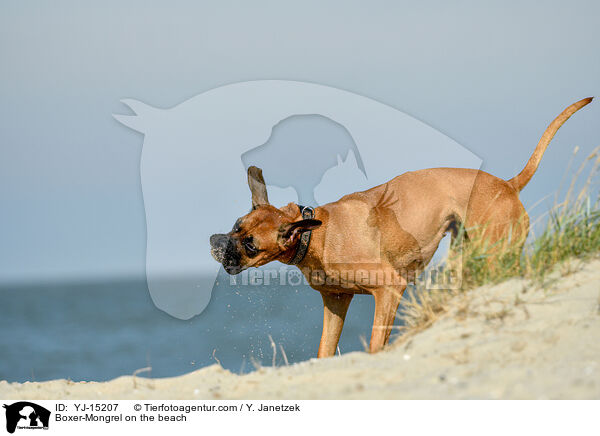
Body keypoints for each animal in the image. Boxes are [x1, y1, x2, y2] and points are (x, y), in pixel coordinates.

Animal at [210, 99, 592, 358]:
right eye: (236, 225)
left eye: (250, 244)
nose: (215, 242)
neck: (313, 234)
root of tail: (508, 185)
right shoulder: (336, 301)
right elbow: (325, 351)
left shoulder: (389, 289)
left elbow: (376, 345)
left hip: (495, 251)